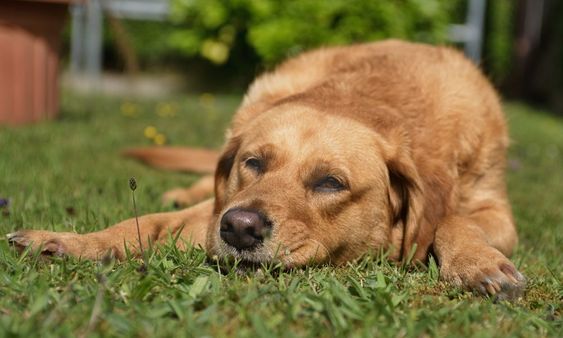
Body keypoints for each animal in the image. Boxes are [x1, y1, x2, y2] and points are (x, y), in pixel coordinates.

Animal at [7, 40, 528, 298]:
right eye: (253, 163)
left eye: (330, 182)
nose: (239, 228)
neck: (368, 97)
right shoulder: (217, 207)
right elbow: (145, 224)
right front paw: (72, 242)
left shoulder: (497, 214)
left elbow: (451, 219)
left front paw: (478, 263)